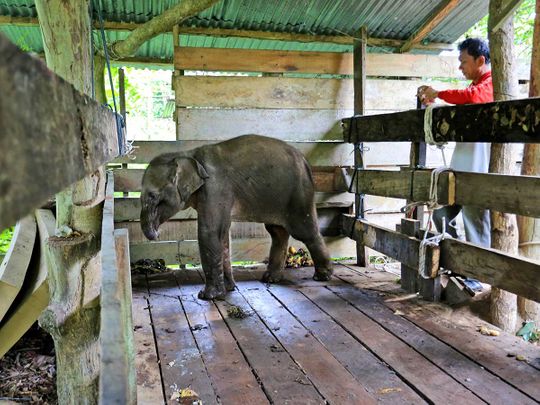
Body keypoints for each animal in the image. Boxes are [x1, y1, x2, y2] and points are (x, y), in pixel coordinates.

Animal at [139, 134, 334, 298]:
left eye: (153, 196)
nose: (157, 234)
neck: (188, 155)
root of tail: (306, 162)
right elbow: (223, 234)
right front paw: (229, 288)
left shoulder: (215, 188)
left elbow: (210, 232)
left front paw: (207, 296)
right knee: (277, 232)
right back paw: (271, 278)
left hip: (299, 193)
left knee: (304, 231)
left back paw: (323, 276)